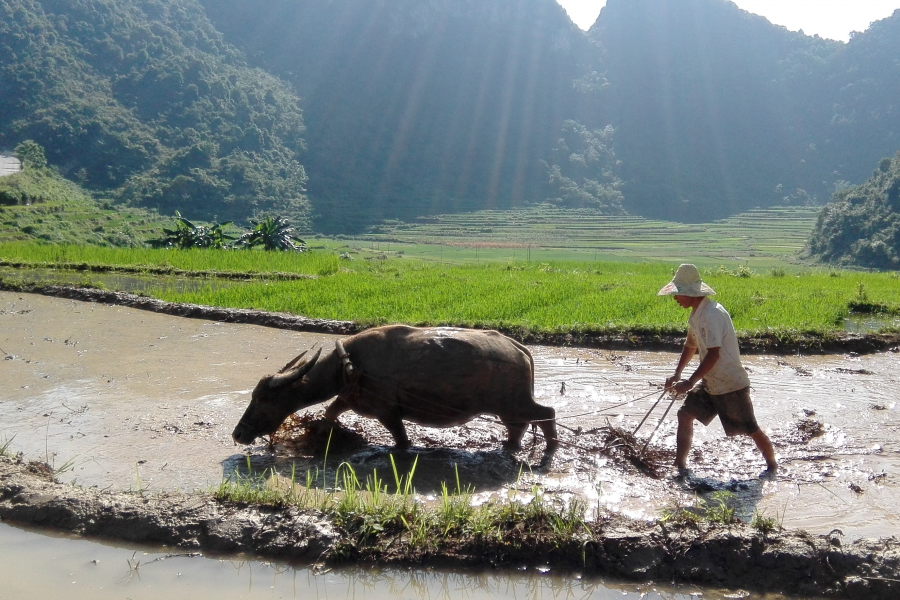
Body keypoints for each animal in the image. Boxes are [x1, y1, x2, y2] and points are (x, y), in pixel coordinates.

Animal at [232, 326, 556, 458]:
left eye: (263, 398)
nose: (238, 433)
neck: (349, 365)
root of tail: (518, 348)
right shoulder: (348, 398)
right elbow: (329, 412)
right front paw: (321, 436)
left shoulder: (387, 412)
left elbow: (401, 439)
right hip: (511, 407)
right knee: (521, 425)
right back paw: (511, 445)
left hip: (513, 403)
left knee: (546, 413)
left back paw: (549, 447)